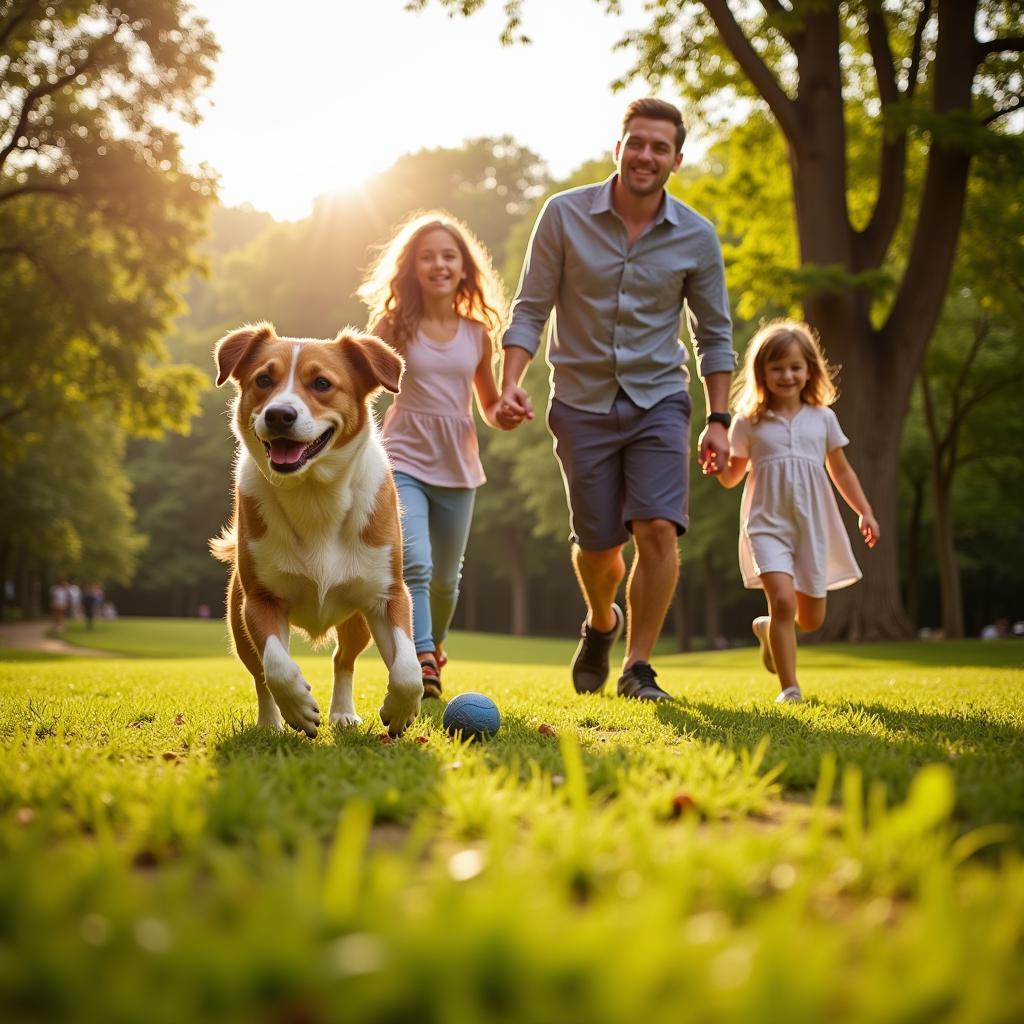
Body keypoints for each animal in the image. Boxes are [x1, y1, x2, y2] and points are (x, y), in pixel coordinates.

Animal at [209, 319, 421, 737]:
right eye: (263, 379)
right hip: (237, 620)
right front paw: (299, 708)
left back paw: (343, 713)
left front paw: (400, 710)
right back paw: (271, 723)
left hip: (356, 620)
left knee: (343, 659)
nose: (279, 414)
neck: (314, 494)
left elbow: (408, 669)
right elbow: (276, 666)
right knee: (259, 673)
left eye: (322, 383)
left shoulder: (388, 593)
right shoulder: (259, 600)